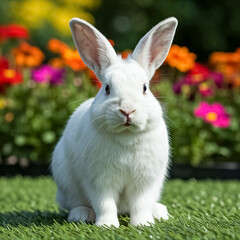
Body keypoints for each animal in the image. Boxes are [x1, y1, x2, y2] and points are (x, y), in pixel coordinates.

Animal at [51, 16, 177, 227]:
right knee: (75, 203)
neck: (126, 136)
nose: (127, 110)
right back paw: (81, 215)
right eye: (107, 88)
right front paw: (107, 225)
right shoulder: (100, 181)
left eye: (145, 88)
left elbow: (141, 204)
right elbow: (105, 203)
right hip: (67, 184)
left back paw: (159, 212)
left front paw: (143, 224)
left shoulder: (145, 182)